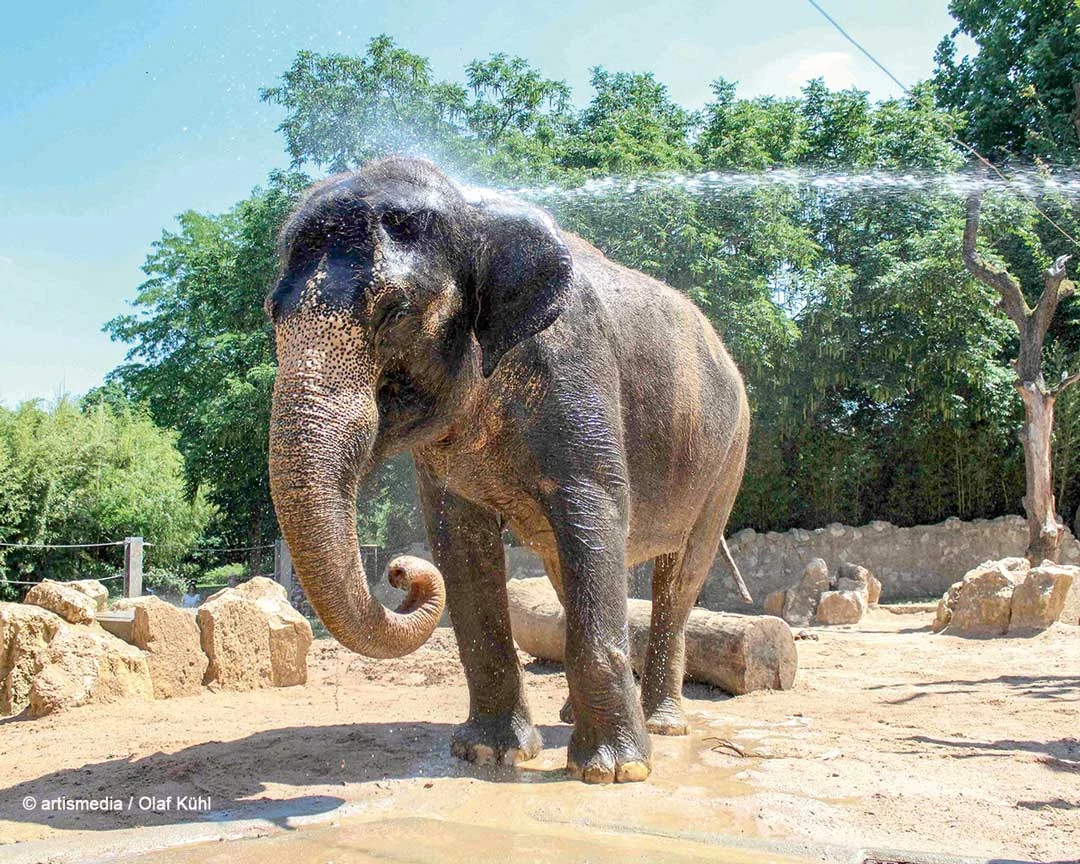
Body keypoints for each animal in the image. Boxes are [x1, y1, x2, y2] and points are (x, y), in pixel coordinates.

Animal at [266, 156, 751, 784]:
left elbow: (595, 515)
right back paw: (574, 716)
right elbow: (460, 544)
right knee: (569, 573)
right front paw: (488, 755)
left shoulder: (577, 375)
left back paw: (663, 726)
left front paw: (613, 773)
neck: (473, 212)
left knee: (679, 576)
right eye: (273, 314)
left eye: (395, 312)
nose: (399, 572)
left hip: (729, 456)